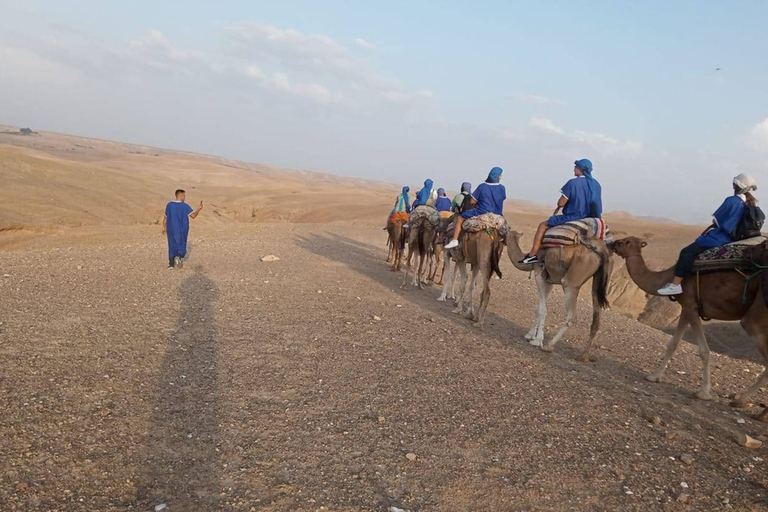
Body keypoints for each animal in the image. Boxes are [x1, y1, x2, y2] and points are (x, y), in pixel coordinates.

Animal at [504, 232, 612, 360]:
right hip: (599, 282)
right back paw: (583, 356)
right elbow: (538, 308)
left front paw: (537, 340)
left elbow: (542, 309)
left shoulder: (539, 275)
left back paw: (549, 345)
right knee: (596, 320)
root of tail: (602, 250)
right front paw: (530, 334)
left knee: (572, 315)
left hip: (571, 282)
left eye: (504, 231)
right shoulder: (548, 281)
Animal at [612, 238, 768, 414]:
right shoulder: (686, 308)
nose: (614, 243)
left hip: (756, 315)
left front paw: (704, 393)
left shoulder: (690, 305)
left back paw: (741, 401)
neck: (668, 276)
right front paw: (654, 376)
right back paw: (759, 413)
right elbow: (673, 344)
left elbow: (704, 351)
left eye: (627, 241)